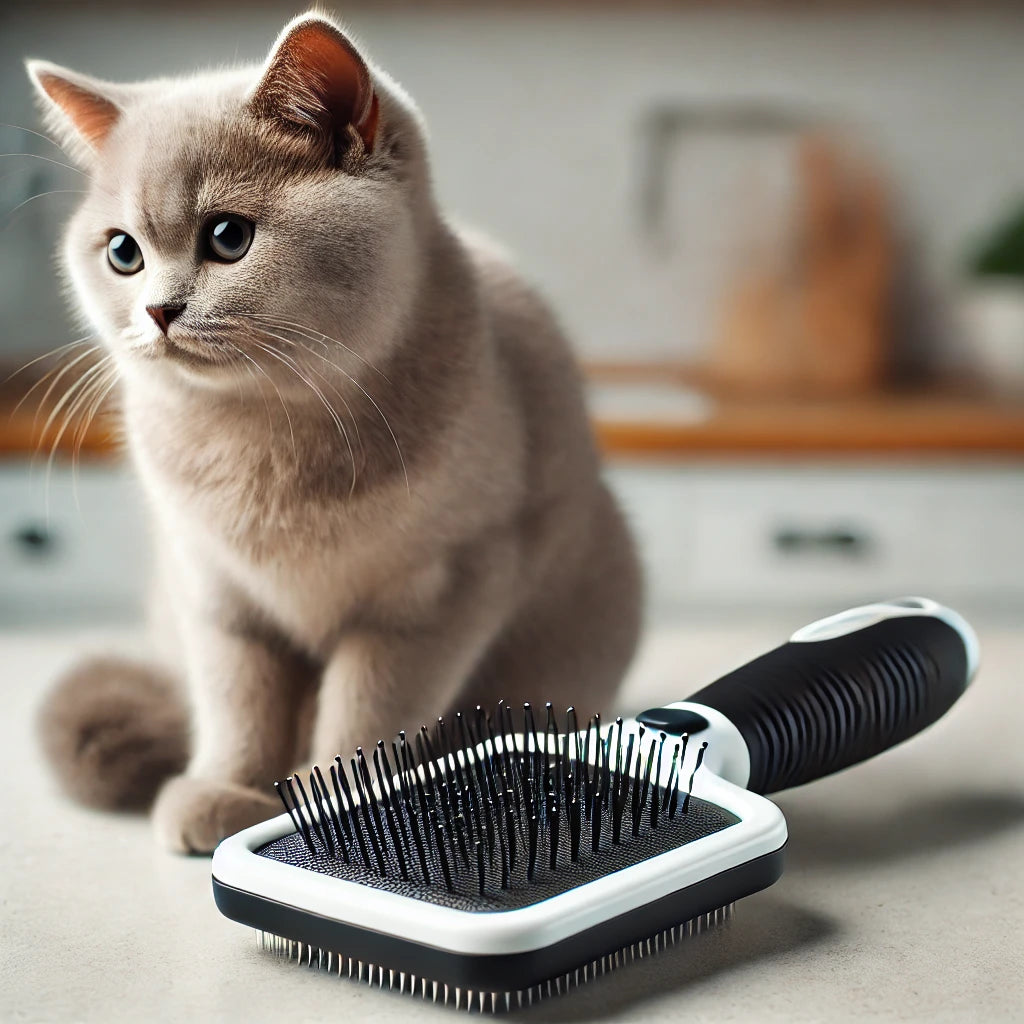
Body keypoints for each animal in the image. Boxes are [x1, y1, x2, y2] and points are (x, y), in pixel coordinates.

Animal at [28, 12, 638, 851]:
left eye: (228, 237)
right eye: (124, 252)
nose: (156, 310)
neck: (264, 436)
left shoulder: (435, 595)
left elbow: (367, 713)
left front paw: (333, 806)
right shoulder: (215, 594)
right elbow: (237, 705)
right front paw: (224, 791)